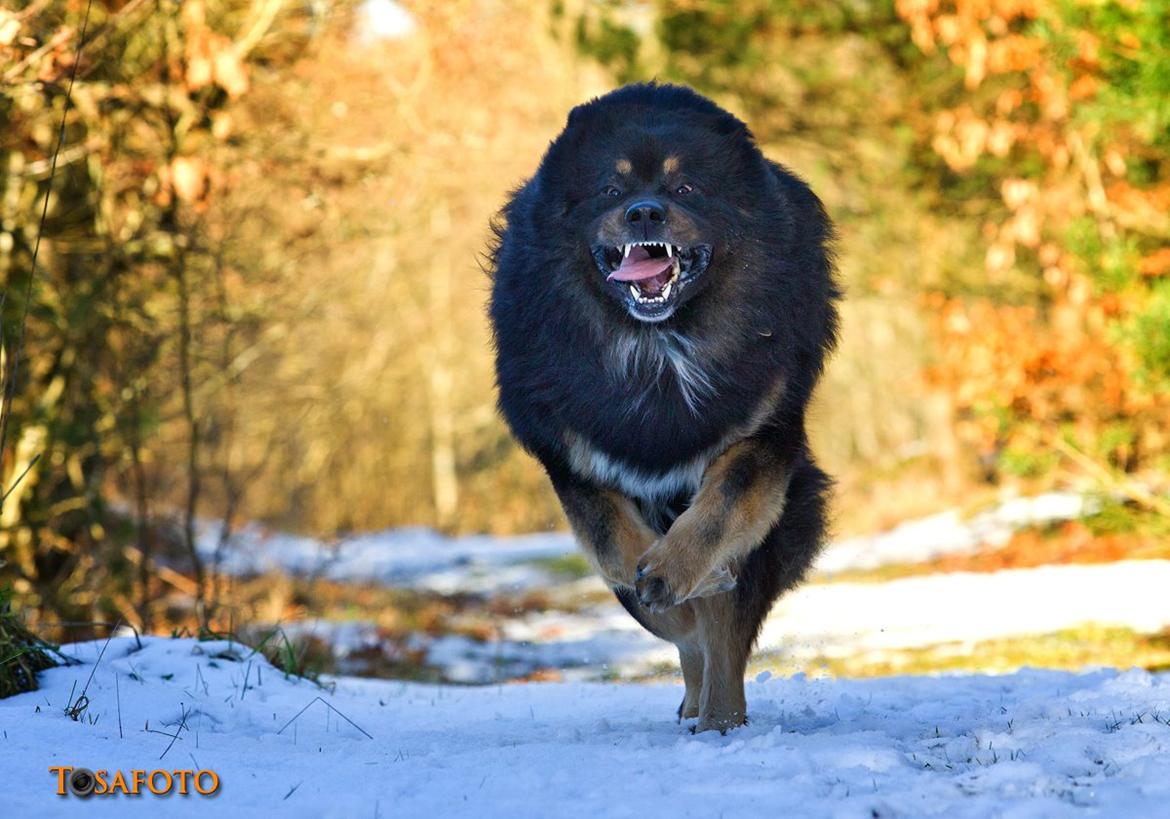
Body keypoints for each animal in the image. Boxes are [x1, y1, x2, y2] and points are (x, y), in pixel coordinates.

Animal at [489, 84, 837, 734]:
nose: (644, 213)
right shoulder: (571, 456)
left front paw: (675, 570)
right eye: (611, 190)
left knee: (723, 639)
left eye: (686, 188)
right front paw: (651, 577)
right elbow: (614, 546)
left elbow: (717, 519)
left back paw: (721, 720)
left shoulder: (763, 435)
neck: (658, 346)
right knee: (690, 640)